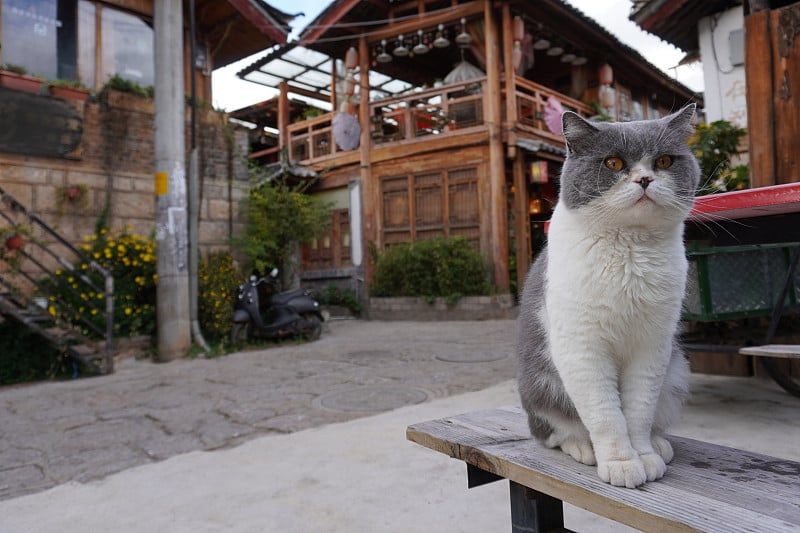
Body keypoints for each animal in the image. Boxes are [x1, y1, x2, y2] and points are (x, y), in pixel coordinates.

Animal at [520, 106, 700, 488]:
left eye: (664, 161)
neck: (629, 250)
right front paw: (621, 462)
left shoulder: (653, 347)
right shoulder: (582, 348)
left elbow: (638, 411)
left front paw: (644, 456)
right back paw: (582, 447)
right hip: (541, 386)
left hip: (676, 370)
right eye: (614, 163)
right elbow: (605, 415)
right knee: (554, 431)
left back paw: (659, 444)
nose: (644, 179)